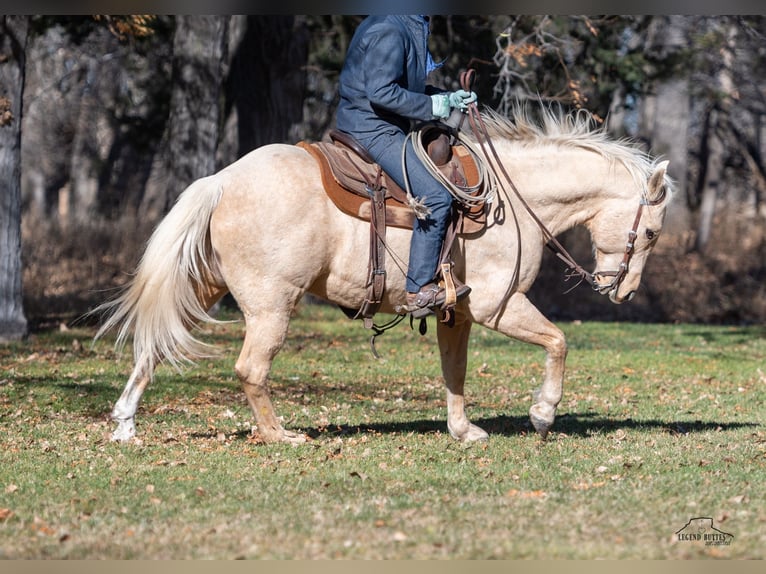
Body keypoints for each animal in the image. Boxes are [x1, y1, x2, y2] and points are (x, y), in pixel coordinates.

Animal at [94, 107, 672, 446]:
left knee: (155, 346)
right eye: (650, 233)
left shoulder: (458, 313)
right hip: (271, 305)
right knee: (250, 369)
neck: (511, 197)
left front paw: (463, 431)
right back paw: (281, 436)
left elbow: (455, 372)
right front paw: (544, 413)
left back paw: (125, 423)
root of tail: (221, 179)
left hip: (206, 288)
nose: (622, 291)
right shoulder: (497, 305)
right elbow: (558, 342)